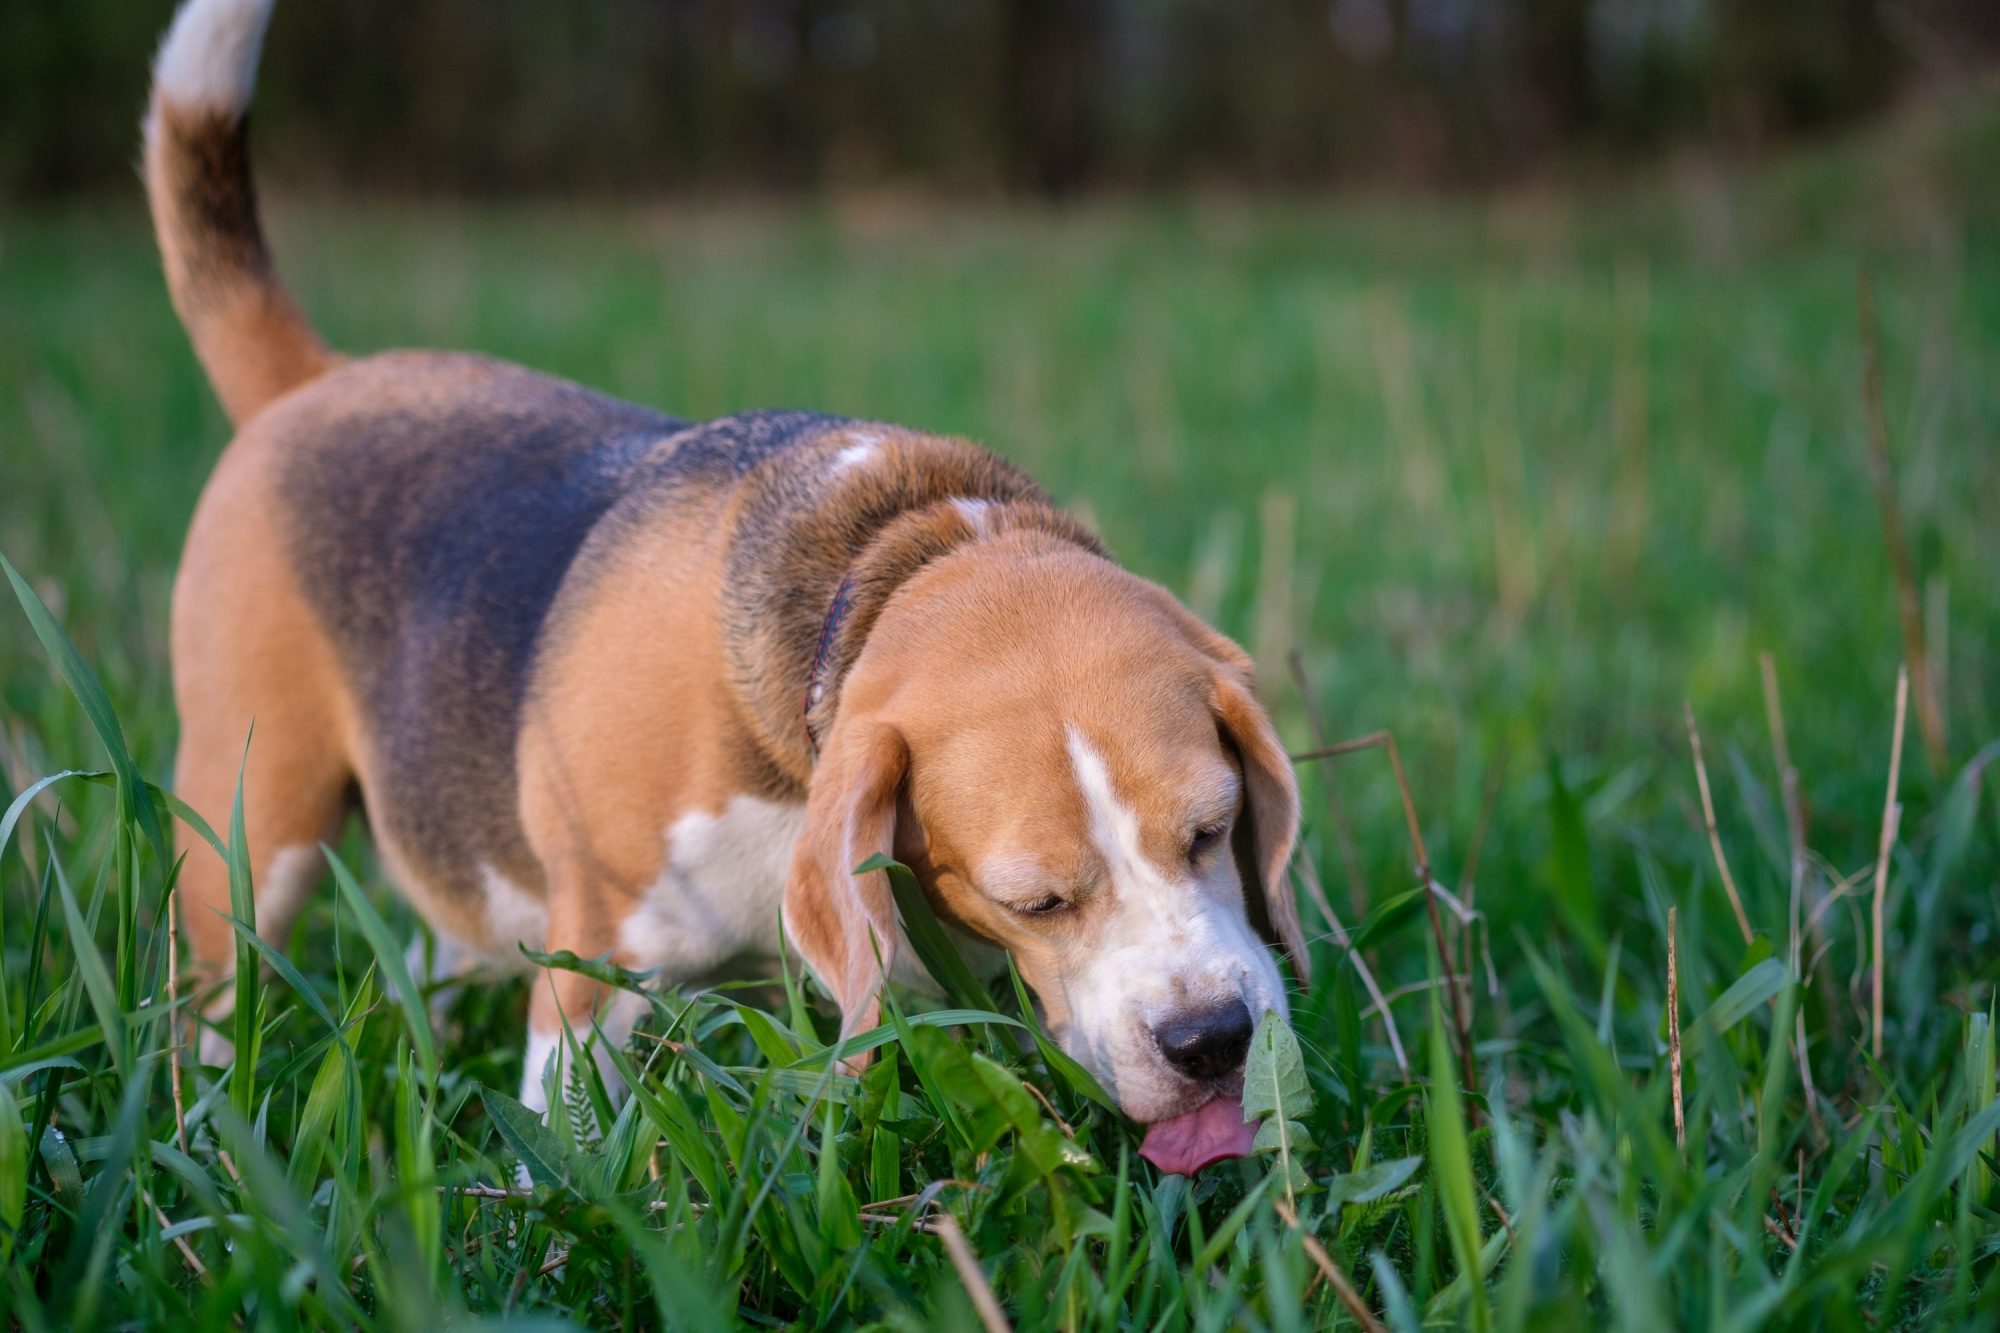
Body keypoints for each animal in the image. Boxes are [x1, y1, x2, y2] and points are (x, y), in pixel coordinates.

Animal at [148, 0, 1304, 1176]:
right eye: (1037, 898)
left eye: (1212, 830)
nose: (1212, 1040)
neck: (889, 558)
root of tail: (317, 380)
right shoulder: (592, 956)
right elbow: (566, 1135)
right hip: (252, 827)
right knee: (217, 987)